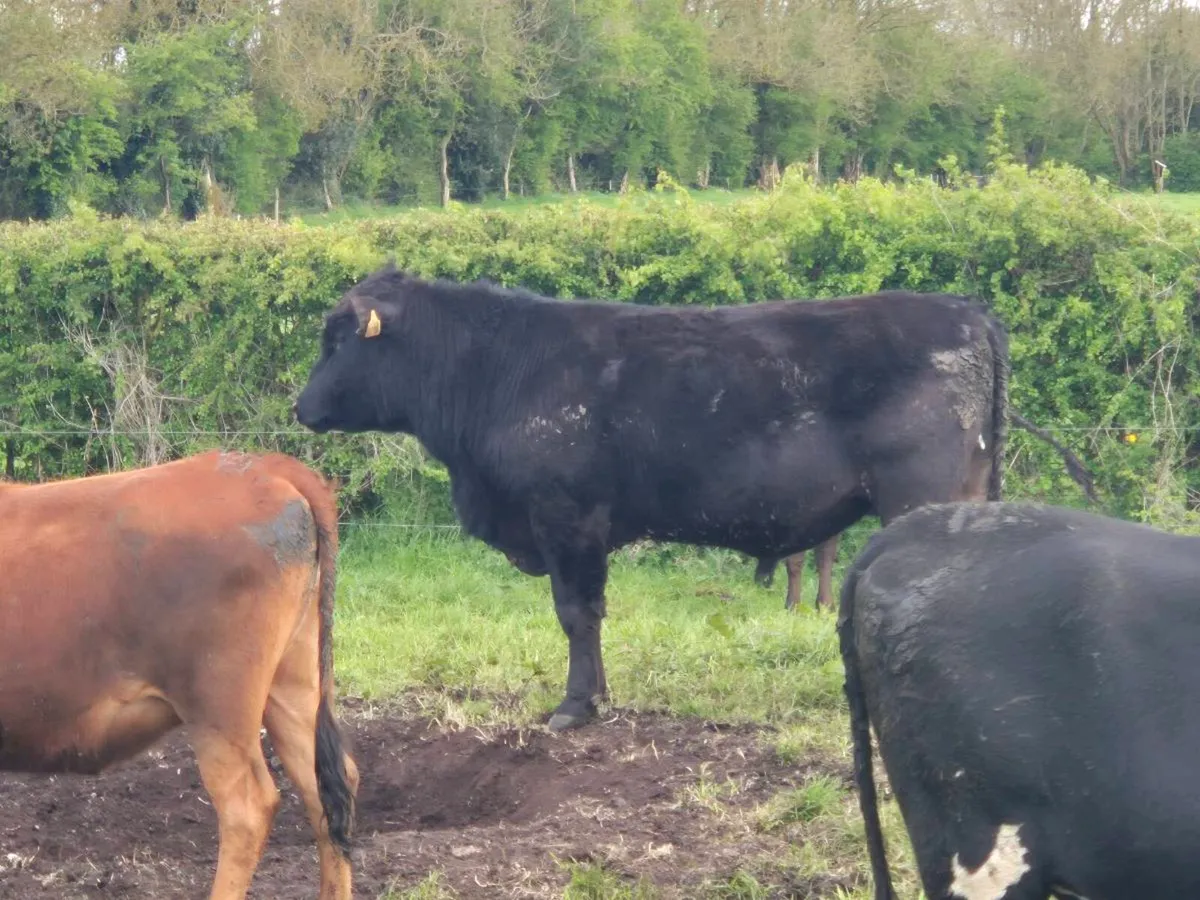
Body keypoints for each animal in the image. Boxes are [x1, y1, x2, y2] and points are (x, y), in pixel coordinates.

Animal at [293, 265, 1095, 732]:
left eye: (339, 341)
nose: (302, 407)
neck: (499, 368)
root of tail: (965, 309)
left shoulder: (567, 518)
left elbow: (575, 613)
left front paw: (575, 707)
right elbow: (591, 615)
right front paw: (597, 697)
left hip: (921, 500)